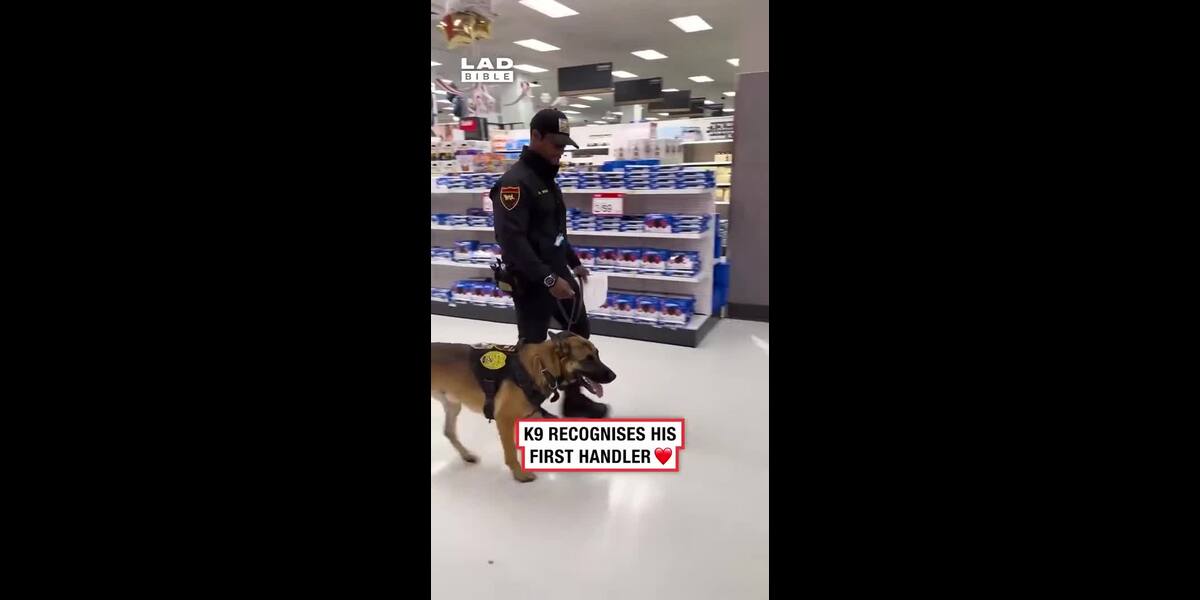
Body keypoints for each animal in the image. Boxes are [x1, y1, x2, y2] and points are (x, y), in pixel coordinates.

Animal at [431, 331, 616, 482]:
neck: (541, 365)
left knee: (448, 432)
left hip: (453, 405)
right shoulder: (504, 419)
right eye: (588, 359)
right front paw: (519, 474)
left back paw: (466, 455)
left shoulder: (531, 413)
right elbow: (511, 452)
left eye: (597, 354)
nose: (614, 376)